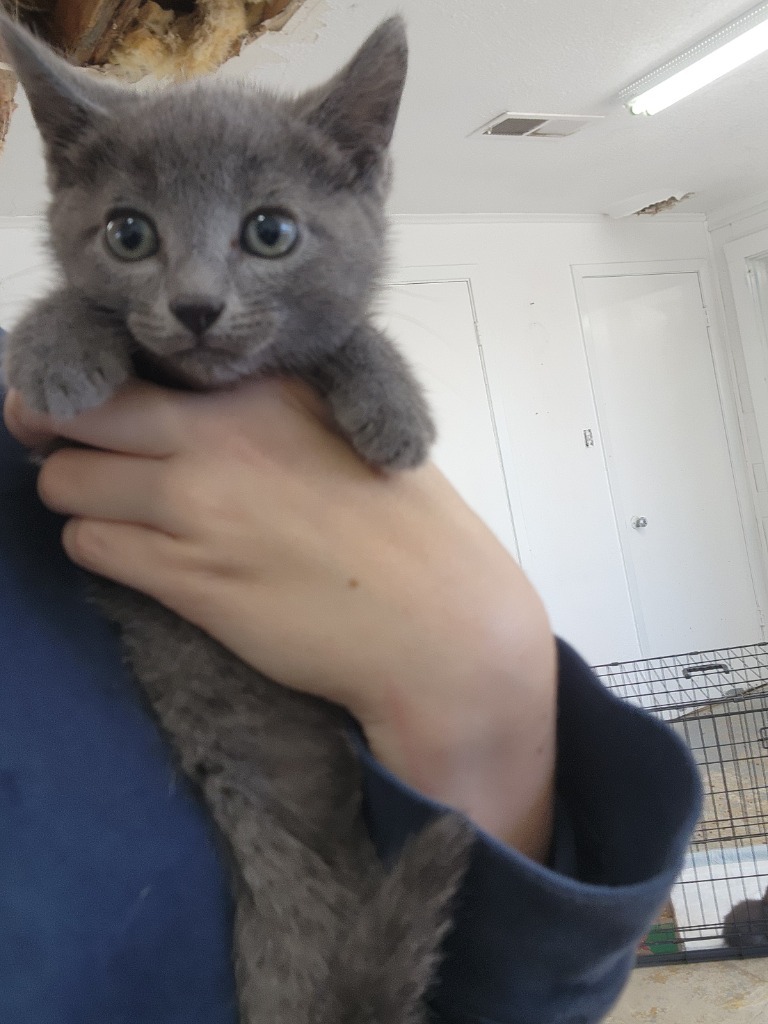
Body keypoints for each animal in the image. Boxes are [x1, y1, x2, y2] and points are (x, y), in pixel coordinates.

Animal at [0, 16, 475, 1024]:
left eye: (271, 231)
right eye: (129, 233)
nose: (195, 305)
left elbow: (343, 331)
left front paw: (394, 409)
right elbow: (78, 313)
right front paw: (55, 345)